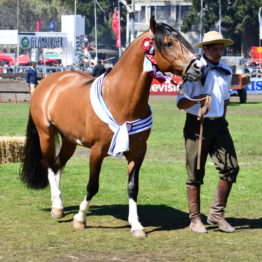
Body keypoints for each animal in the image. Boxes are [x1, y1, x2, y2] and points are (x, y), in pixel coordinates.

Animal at [21, 16, 205, 237]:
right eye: (169, 43)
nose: (200, 67)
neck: (119, 100)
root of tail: (50, 80)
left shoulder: (138, 152)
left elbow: (133, 187)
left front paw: (136, 225)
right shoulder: (97, 151)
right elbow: (92, 186)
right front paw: (80, 218)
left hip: (69, 140)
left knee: (57, 166)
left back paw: (60, 205)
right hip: (46, 133)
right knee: (49, 165)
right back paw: (57, 207)